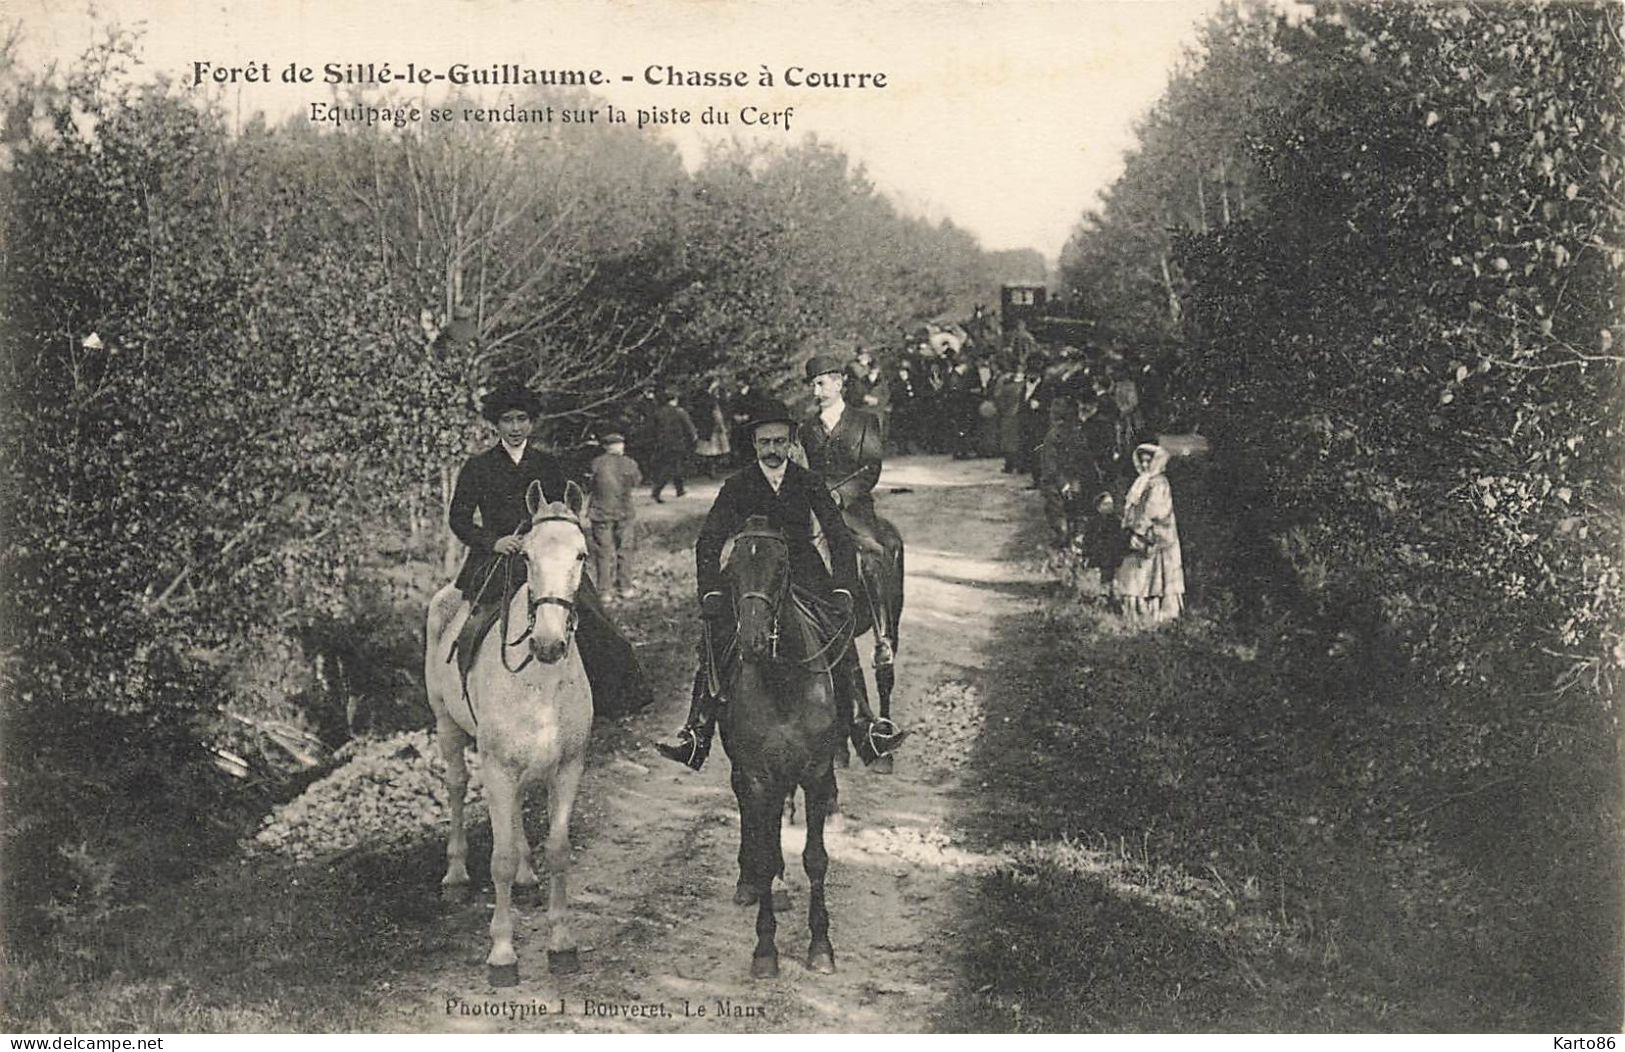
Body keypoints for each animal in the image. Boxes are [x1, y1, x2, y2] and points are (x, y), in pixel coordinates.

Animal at [718, 517, 845, 982]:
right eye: (732, 571)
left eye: (780, 567)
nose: (753, 642)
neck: (784, 682)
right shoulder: (759, 778)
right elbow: (764, 853)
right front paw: (765, 949)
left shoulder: (817, 773)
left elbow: (815, 858)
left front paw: (821, 945)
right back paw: (751, 885)